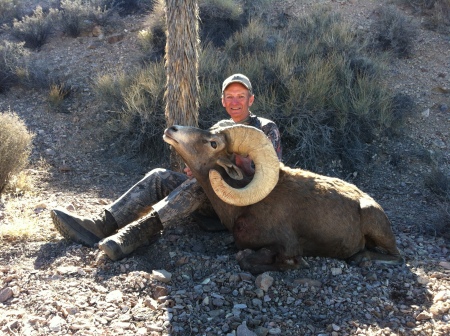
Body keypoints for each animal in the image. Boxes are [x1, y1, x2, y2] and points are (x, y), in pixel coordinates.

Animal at [163, 123, 402, 272]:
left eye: (213, 143)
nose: (171, 129)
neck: (244, 208)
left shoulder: (287, 247)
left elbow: (248, 259)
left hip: (376, 225)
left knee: (396, 256)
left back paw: (361, 259)